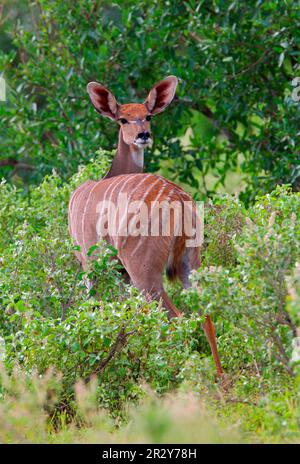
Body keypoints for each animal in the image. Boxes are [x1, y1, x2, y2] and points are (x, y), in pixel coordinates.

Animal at [68, 74, 223, 376]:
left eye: (148, 116)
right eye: (123, 119)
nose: (143, 135)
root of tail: (179, 199)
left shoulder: (90, 262)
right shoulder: (120, 274)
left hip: (145, 271)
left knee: (176, 318)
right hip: (190, 262)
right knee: (205, 314)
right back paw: (220, 380)